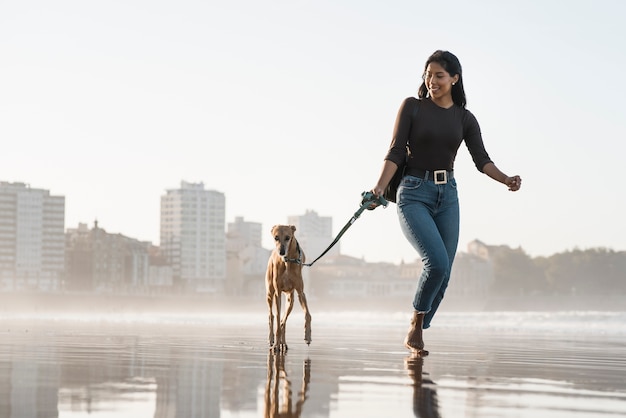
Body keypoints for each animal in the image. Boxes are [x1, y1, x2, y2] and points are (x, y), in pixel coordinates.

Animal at [264, 224, 310, 352]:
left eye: (288, 237)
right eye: (276, 237)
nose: (281, 252)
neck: (288, 261)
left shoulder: (300, 293)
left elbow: (308, 314)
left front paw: (308, 336)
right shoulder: (277, 293)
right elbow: (277, 318)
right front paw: (275, 343)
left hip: (291, 300)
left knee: (283, 320)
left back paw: (283, 343)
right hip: (269, 294)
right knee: (272, 316)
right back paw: (272, 339)